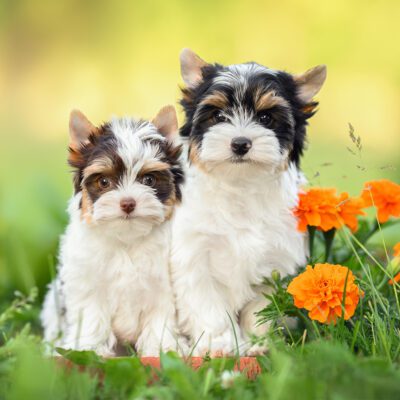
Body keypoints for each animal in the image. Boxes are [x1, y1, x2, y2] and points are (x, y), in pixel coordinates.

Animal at [40, 106, 184, 356]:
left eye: (148, 179)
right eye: (104, 182)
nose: (128, 203)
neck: (126, 238)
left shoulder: (162, 287)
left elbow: (161, 318)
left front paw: (162, 349)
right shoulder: (88, 284)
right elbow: (92, 316)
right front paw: (89, 348)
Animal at [170, 49, 326, 356]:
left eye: (266, 117)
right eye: (218, 115)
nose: (240, 143)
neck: (239, 185)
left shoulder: (275, 262)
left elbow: (261, 309)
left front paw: (258, 343)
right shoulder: (195, 257)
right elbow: (209, 306)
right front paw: (219, 344)